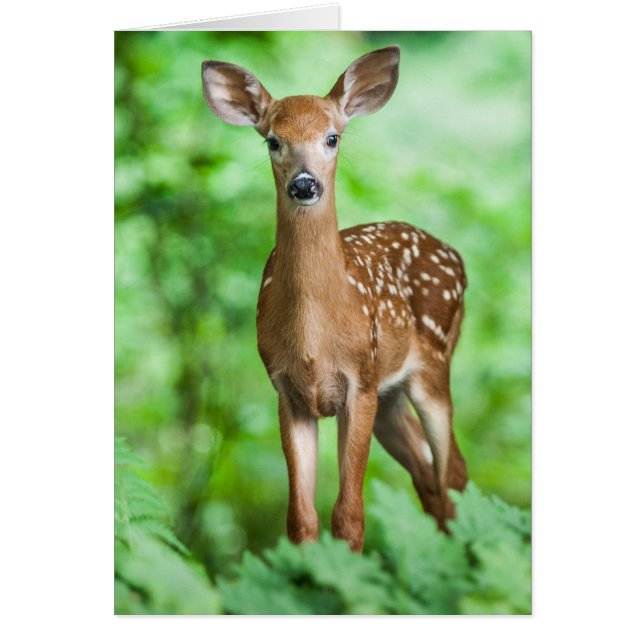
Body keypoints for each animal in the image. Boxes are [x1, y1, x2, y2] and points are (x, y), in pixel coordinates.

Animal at [202, 46, 468, 552]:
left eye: (332, 138)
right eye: (272, 141)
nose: (305, 185)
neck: (313, 339)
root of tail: (456, 255)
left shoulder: (359, 383)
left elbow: (349, 516)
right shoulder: (287, 392)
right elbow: (300, 520)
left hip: (433, 367)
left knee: (452, 477)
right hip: (391, 397)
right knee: (431, 477)